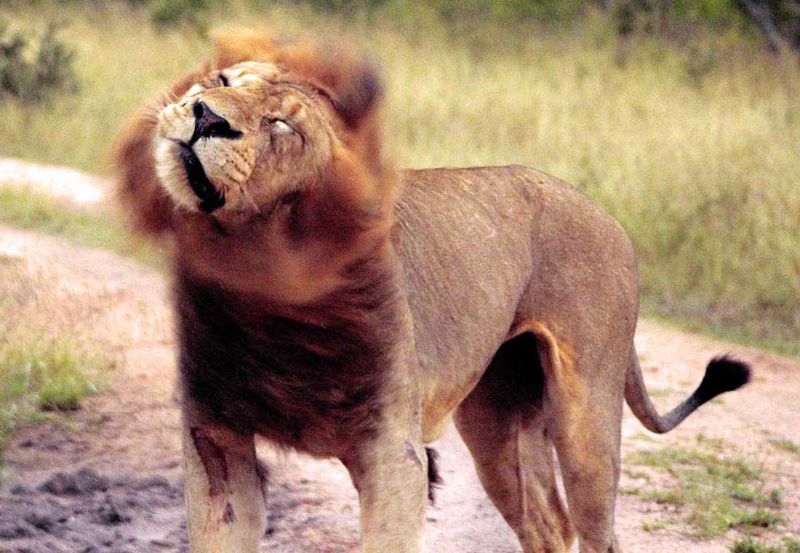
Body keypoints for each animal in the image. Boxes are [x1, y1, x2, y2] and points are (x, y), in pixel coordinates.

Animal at [113, 30, 751, 553]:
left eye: (282, 126)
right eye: (221, 82)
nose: (205, 116)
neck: (257, 280)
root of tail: (606, 214)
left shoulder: (392, 454)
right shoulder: (216, 441)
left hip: (586, 420)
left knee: (598, 531)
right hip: (497, 424)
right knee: (546, 525)